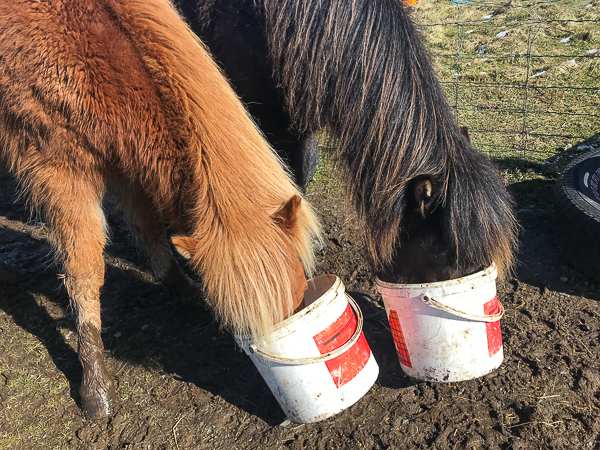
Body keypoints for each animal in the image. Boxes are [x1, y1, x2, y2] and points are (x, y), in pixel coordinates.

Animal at [0, 0, 321, 420]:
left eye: (298, 291)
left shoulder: (124, 159)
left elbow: (148, 226)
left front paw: (181, 287)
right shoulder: (61, 173)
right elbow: (84, 273)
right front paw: (95, 386)